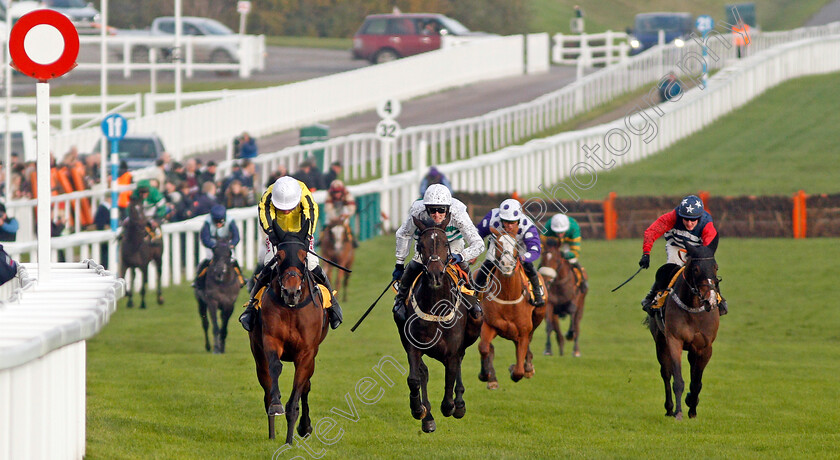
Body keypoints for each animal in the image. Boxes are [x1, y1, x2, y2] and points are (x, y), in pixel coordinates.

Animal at [246, 221, 328, 444]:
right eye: (279, 257)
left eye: (303, 255)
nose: (291, 292)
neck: (292, 308)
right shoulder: (270, 341)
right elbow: (275, 368)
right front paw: (276, 405)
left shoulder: (307, 353)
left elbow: (298, 393)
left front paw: (291, 438)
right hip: (257, 355)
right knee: (266, 385)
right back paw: (272, 433)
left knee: (306, 386)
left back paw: (303, 427)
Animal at [398, 217, 482, 434]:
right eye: (420, 245)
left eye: (445, 243)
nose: (435, 275)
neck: (436, 308)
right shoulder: (413, 347)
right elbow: (414, 378)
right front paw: (418, 409)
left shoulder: (452, 351)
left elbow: (450, 379)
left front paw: (453, 405)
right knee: (423, 373)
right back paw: (427, 417)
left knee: (458, 364)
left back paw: (459, 404)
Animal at [476, 229, 548, 388]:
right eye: (498, 244)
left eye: (515, 244)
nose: (507, 264)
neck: (508, 298)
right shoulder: (489, 324)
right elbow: (484, 347)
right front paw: (485, 374)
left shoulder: (523, 332)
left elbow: (518, 372)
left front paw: (518, 368)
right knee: (490, 348)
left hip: (538, 316)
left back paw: (528, 367)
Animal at [648, 244, 720, 420]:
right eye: (696, 269)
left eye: (715, 267)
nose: (710, 300)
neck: (693, 310)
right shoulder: (674, 341)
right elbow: (678, 380)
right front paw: (678, 412)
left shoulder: (705, 347)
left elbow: (696, 382)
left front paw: (692, 407)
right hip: (661, 342)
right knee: (666, 373)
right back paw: (669, 408)